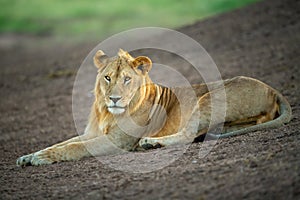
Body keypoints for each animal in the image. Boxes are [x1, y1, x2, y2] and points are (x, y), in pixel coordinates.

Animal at [15, 49, 292, 166]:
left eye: (127, 79)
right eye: (107, 77)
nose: (114, 99)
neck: (106, 113)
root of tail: (272, 89)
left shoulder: (117, 141)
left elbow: (73, 148)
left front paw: (40, 159)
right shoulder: (92, 133)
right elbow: (62, 143)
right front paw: (28, 156)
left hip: (208, 99)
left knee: (187, 136)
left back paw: (150, 143)